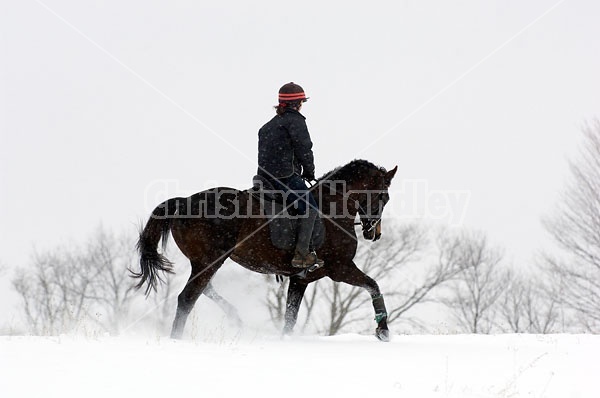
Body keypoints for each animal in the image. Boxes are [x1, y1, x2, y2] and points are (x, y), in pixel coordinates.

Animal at [134, 160, 400, 340]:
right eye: (384, 197)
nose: (374, 233)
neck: (333, 206)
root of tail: (183, 202)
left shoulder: (301, 279)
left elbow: (290, 316)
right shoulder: (340, 268)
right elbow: (373, 285)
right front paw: (383, 330)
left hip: (204, 262)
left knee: (204, 289)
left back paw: (235, 318)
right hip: (209, 261)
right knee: (188, 298)